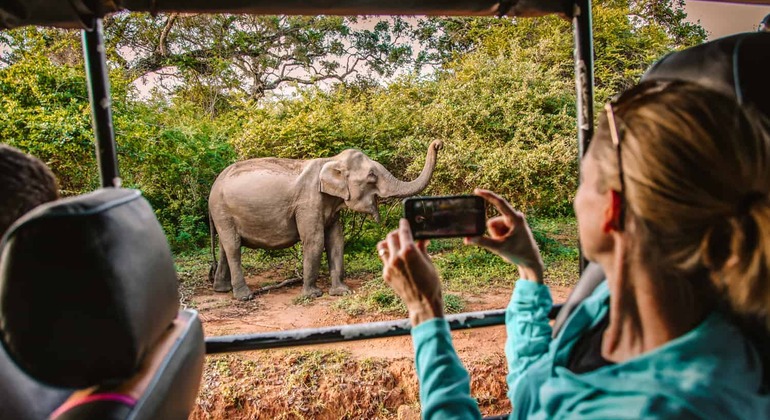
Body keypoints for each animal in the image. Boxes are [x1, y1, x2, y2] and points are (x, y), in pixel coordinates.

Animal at [207, 139, 440, 300]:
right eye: (372, 175)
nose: (438, 143)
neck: (331, 160)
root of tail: (213, 186)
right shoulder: (308, 203)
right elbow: (315, 240)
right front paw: (313, 295)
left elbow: (336, 239)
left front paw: (342, 292)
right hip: (222, 211)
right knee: (233, 247)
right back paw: (244, 296)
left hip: (222, 214)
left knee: (225, 247)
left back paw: (222, 289)